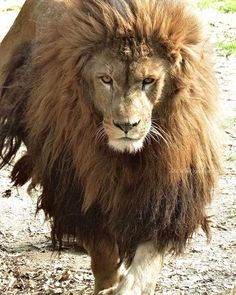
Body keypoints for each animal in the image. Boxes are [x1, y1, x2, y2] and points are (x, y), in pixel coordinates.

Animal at [0, 0, 221, 295]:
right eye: (106, 79)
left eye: (148, 80)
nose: (126, 125)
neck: (127, 157)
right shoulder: (80, 188)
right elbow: (103, 252)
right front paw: (108, 284)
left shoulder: (164, 193)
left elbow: (146, 263)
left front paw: (131, 286)